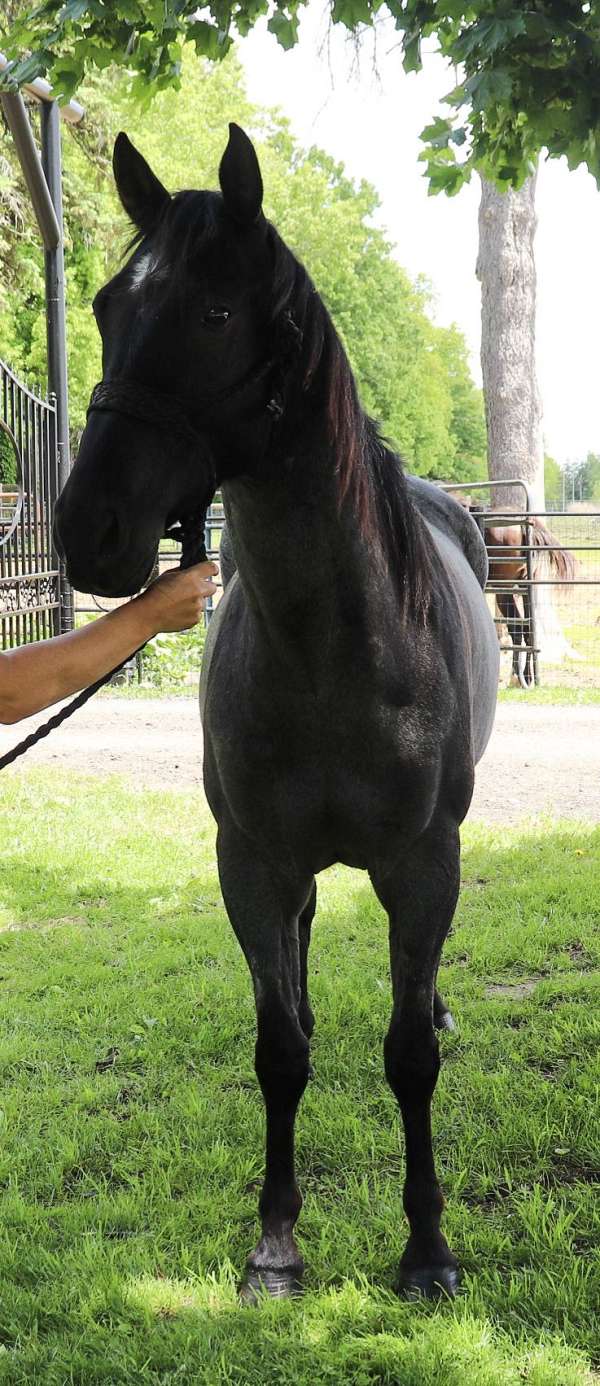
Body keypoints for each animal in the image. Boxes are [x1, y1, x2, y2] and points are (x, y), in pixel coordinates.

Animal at [54, 125, 500, 1302]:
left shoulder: (421, 864)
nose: (86, 532)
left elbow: (410, 1056)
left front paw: (427, 1250)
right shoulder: (251, 861)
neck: (336, 652)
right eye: (107, 305)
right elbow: (280, 1051)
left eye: (214, 314)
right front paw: (276, 1245)